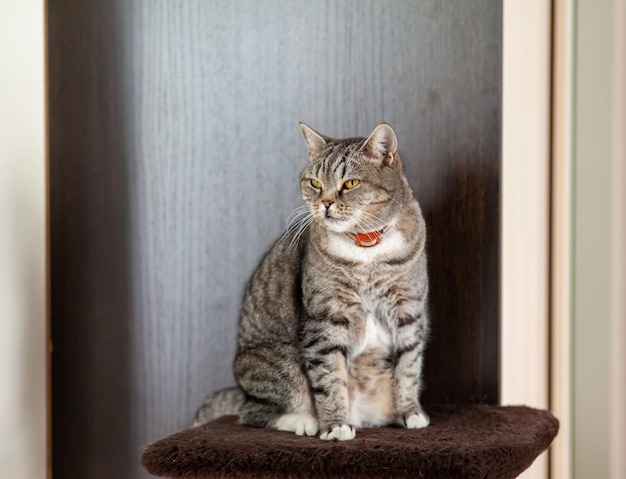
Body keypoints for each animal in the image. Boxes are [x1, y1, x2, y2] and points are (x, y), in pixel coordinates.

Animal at [194, 124, 428, 442]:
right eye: (315, 183)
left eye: (350, 183)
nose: (325, 203)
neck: (367, 248)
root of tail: (242, 392)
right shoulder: (326, 318)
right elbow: (329, 376)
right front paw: (335, 425)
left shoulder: (408, 310)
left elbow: (409, 367)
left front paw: (410, 412)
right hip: (278, 363)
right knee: (254, 413)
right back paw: (305, 422)